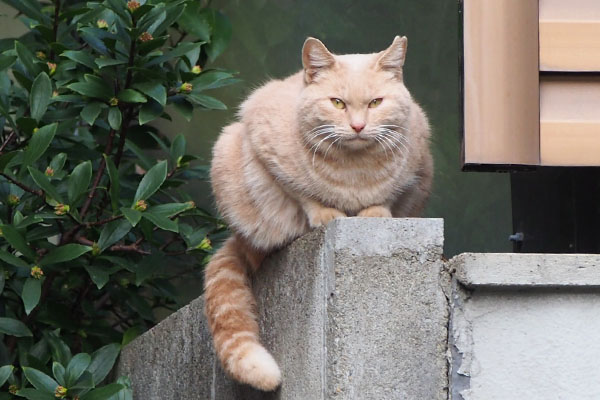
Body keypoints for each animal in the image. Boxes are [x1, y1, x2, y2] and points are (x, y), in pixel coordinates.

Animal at [205, 36, 432, 392]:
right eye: (337, 103)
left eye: (376, 102)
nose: (358, 126)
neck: (354, 171)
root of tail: (237, 240)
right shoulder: (264, 143)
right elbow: (303, 194)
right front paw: (325, 213)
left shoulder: (416, 164)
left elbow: (388, 197)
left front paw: (376, 212)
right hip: (228, 157)